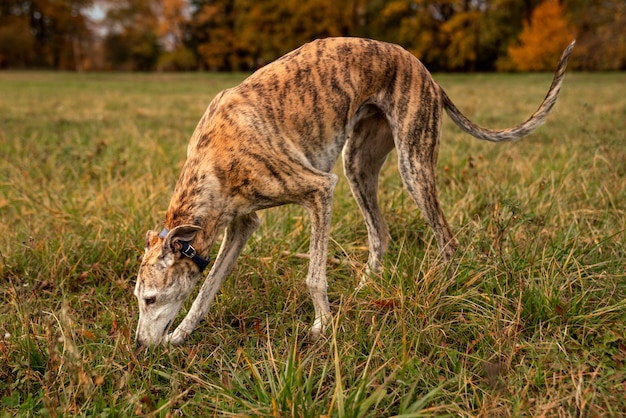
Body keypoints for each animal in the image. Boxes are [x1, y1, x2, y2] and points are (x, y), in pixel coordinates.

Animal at [134, 37, 572, 348]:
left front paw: (322, 327)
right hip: (358, 163)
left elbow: (314, 277)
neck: (213, 161)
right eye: (139, 297)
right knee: (381, 235)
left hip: (413, 166)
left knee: (447, 240)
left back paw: (443, 289)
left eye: (150, 299)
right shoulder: (242, 223)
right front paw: (180, 335)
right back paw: (366, 290)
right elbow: (207, 287)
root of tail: (426, 72)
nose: (138, 346)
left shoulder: (318, 190)